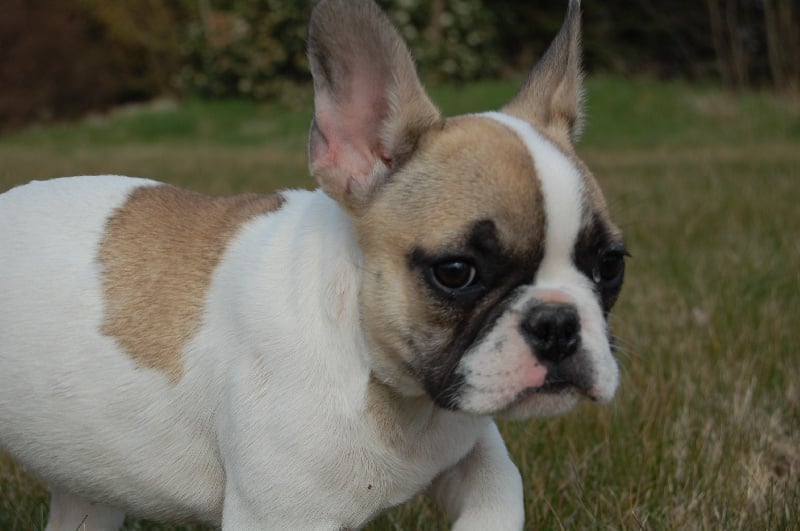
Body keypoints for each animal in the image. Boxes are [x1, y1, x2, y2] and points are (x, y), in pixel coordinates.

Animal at [0, 0, 626, 529]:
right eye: (456, 272)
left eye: (611, 266)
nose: (557, 323)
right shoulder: (280, 516)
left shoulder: (469, 445)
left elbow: (501, 489)